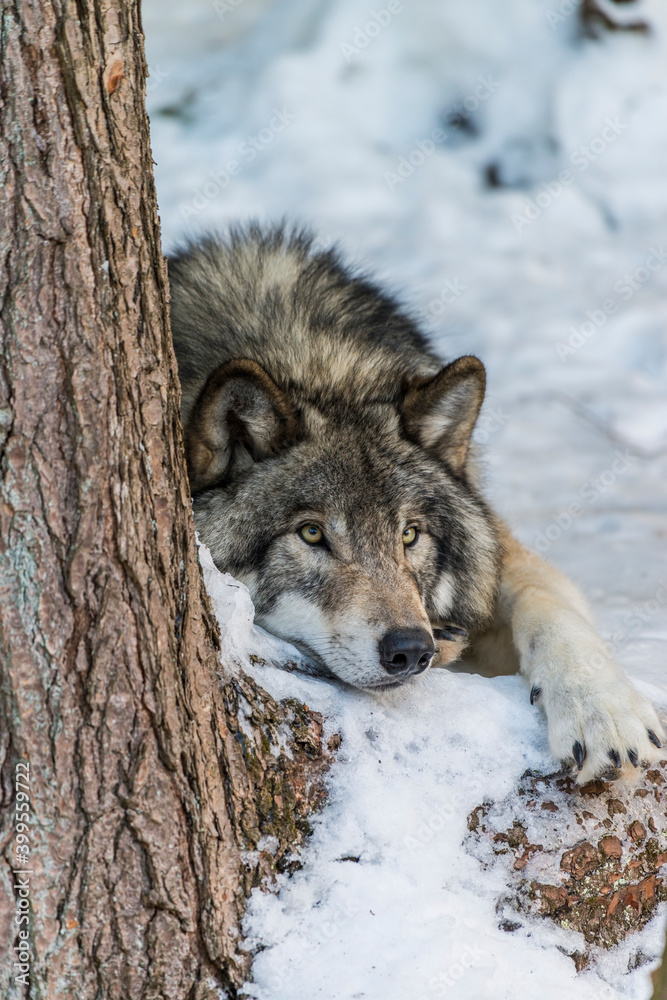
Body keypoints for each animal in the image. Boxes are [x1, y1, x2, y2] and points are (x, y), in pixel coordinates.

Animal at [169, 225, 663, 784]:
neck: (315, 366)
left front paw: (603, 710)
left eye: (409, 534)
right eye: (312, 533)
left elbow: (546, 602)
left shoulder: (501, 553)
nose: (411, 648)